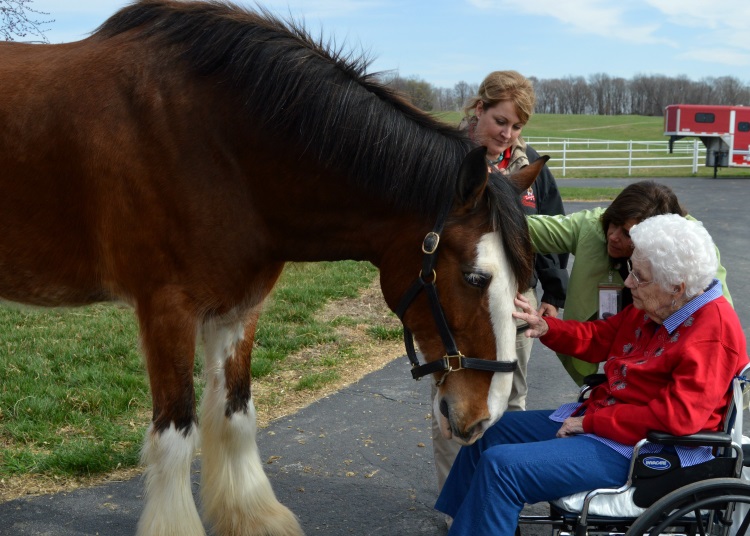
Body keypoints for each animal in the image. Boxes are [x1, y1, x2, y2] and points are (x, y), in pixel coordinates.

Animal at [0, 1, 544, 536]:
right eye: (475, 277)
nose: (483, 418)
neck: (219, 143)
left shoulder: (239, 308)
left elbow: (236, 414)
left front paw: (252, 516)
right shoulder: (167, 310)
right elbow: (176, 435)